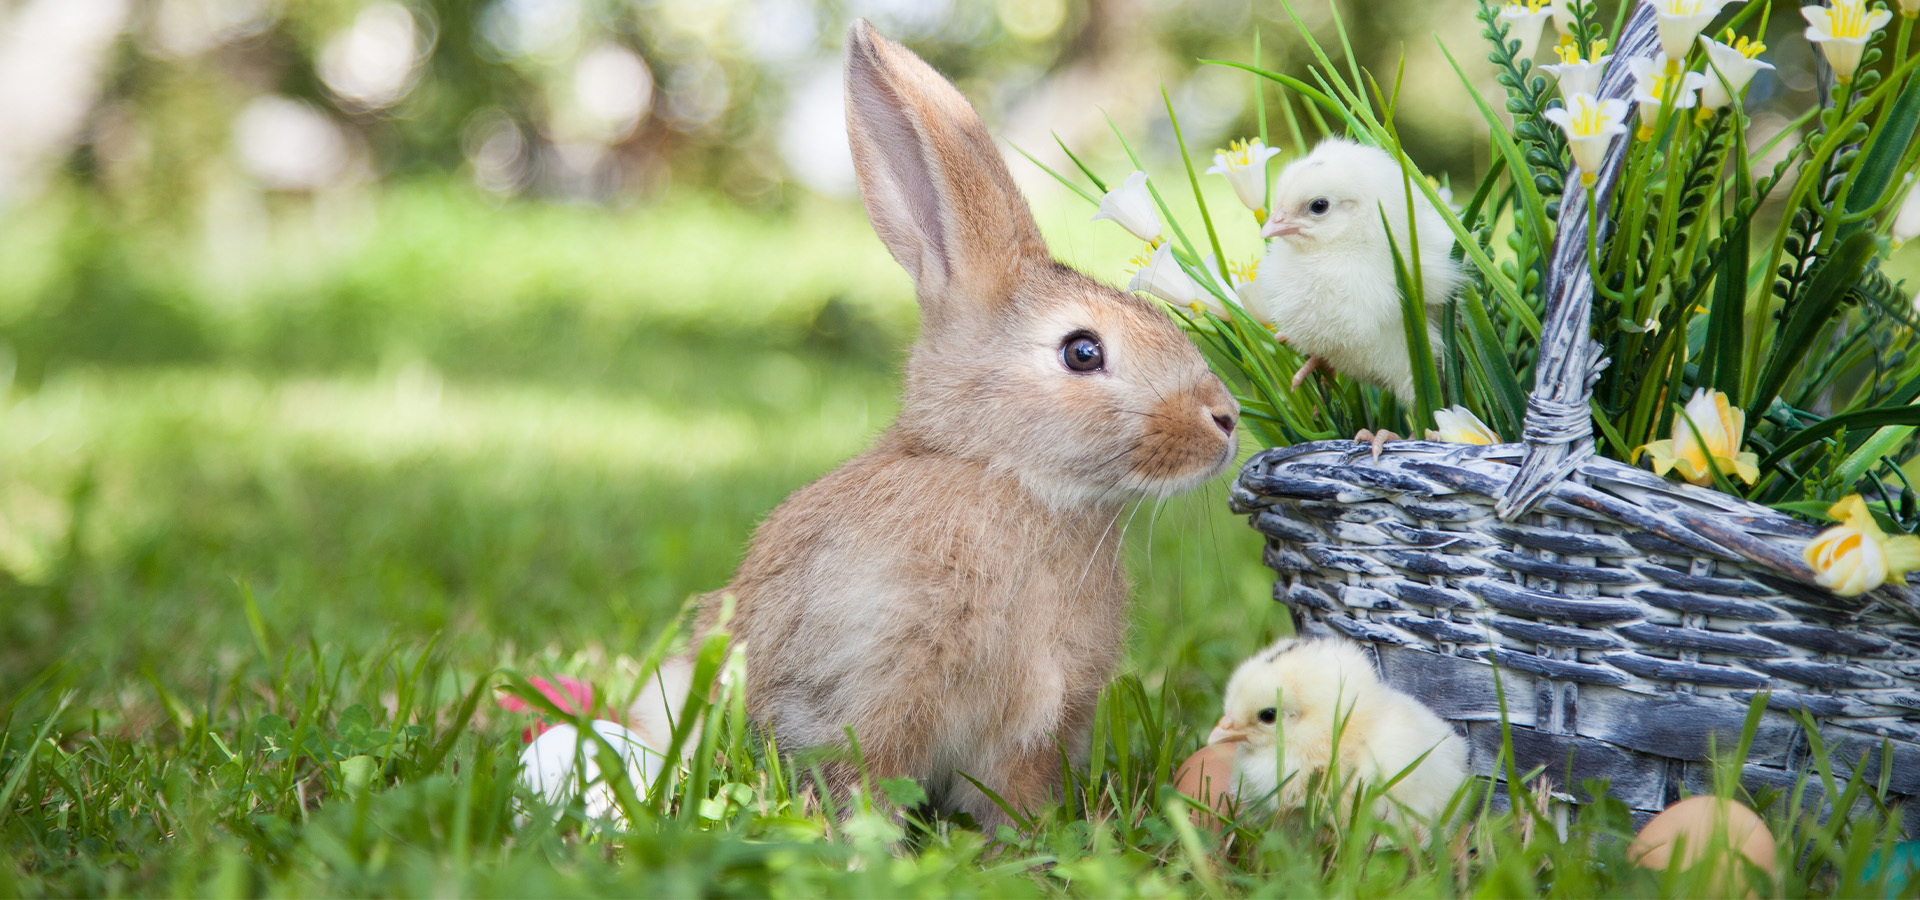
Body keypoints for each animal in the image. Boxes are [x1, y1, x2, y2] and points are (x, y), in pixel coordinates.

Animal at [680, 20, 1240, 828]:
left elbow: (1015, 798)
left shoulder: (1033, 731)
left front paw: (1028, 844)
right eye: (1082, 351)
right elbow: (865, 780)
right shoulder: (872, 692)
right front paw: (868, 842)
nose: (1226, 419)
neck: (1004, 478)